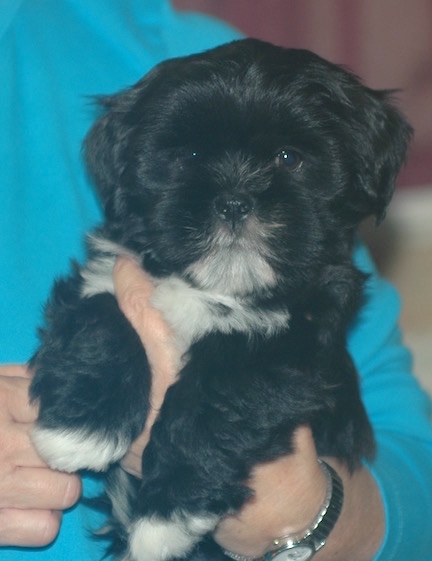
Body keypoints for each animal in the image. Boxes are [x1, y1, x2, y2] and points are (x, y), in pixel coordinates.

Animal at [28, 38, 410, 560]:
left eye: (288, 158)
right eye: (189, 156)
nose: (233, 200)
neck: (214, 286)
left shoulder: (286, 347)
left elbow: (210, 403)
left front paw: (165, 516)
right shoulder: (110, 273)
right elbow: (103, 320)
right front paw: (82, 430)